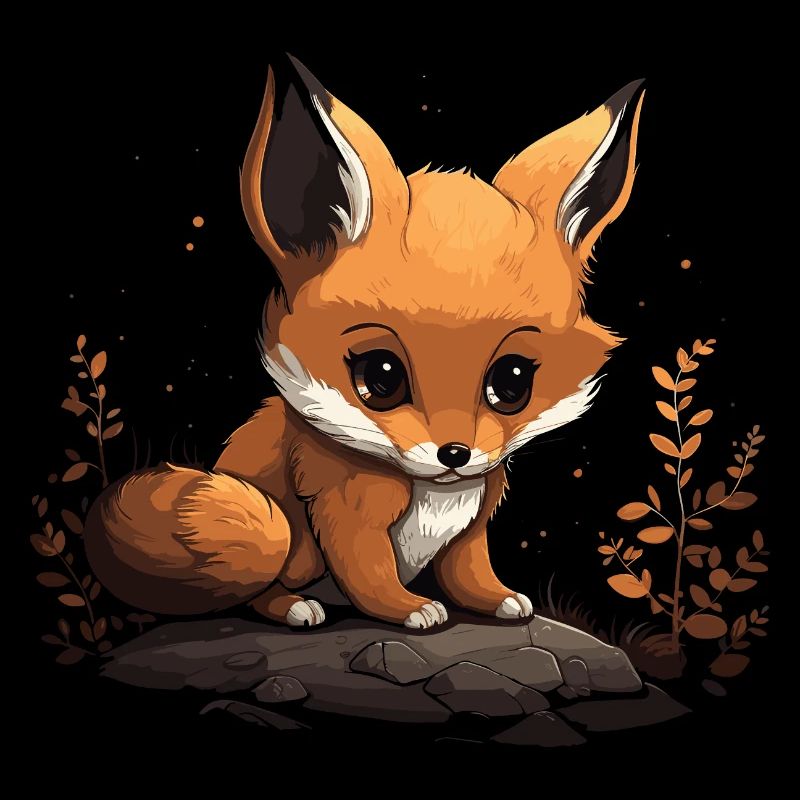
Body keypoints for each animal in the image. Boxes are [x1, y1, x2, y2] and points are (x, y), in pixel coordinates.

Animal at [85, 56, 644, 630]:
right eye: (380, 376)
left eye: (512, 382)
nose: (456, 453)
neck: (438, 495)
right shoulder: (346, 515)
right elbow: (370, 577)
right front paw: (412, 609)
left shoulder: (472, 525)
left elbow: (468, 571)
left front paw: (498, 599)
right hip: (281, 538)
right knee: (260, 589)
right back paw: (295, 608)